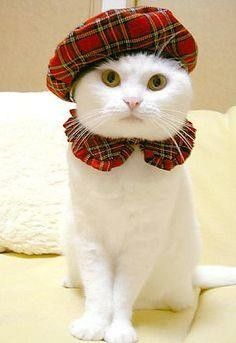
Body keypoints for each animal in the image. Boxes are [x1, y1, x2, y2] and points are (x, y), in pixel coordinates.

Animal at [61, 53, 236, 343]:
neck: (126, 156)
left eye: (157, 82)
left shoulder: (141, 243)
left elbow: (122, 294)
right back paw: (72, 280)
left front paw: (119, 329)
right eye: (110, 78)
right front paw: (93, 324)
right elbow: (98, 290)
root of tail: (191, 277)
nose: (132, 101)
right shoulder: (89, 238)